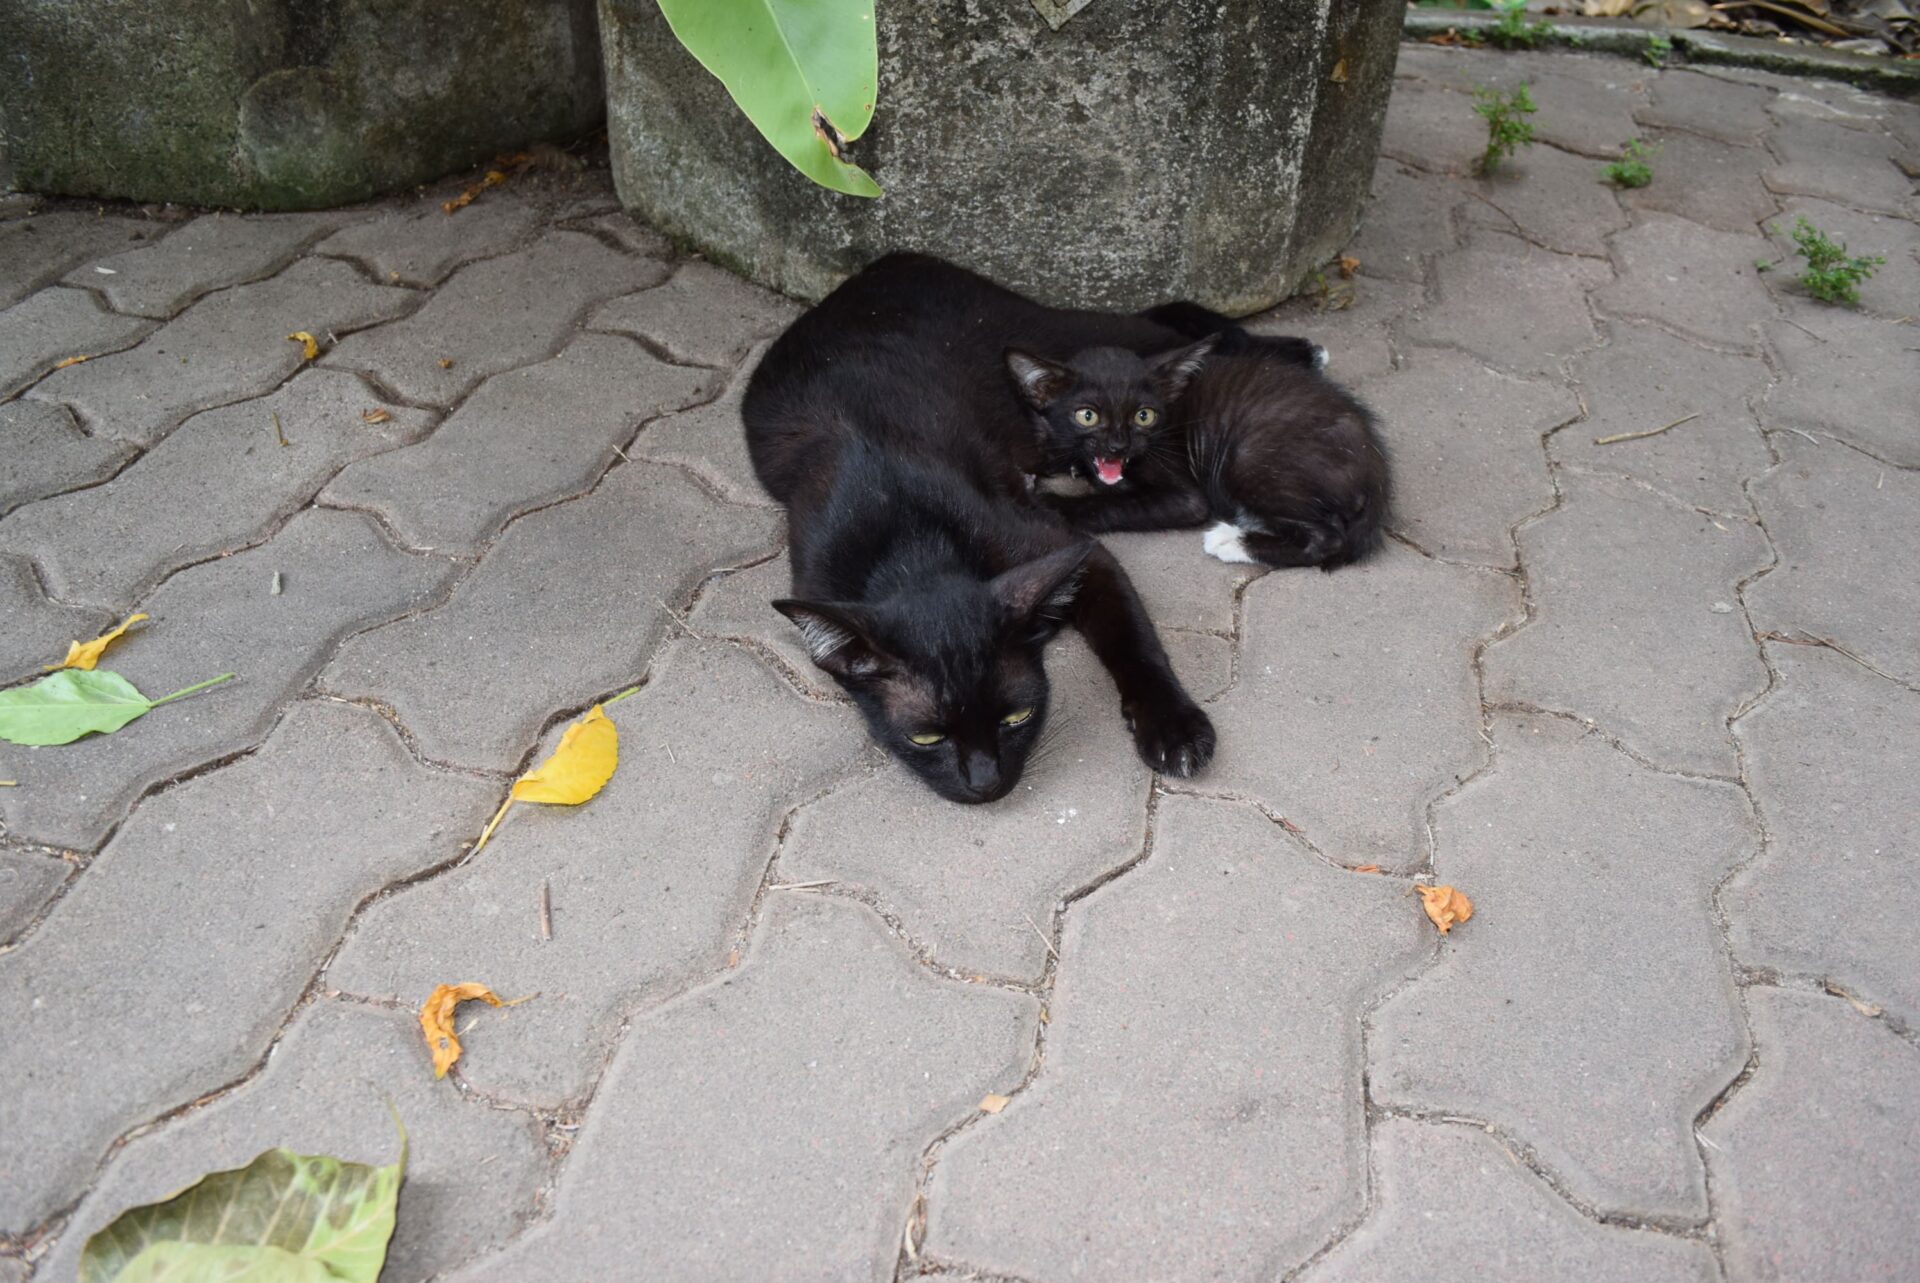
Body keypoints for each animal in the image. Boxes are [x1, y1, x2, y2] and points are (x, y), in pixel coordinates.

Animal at [737, 278, 1213, 802]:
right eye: (926, 737)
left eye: (1017, 717)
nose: (986, 784)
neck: (911, 543)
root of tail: (874, 274)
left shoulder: (1064, 550)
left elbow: (1134, 640)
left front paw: (1174, 727)